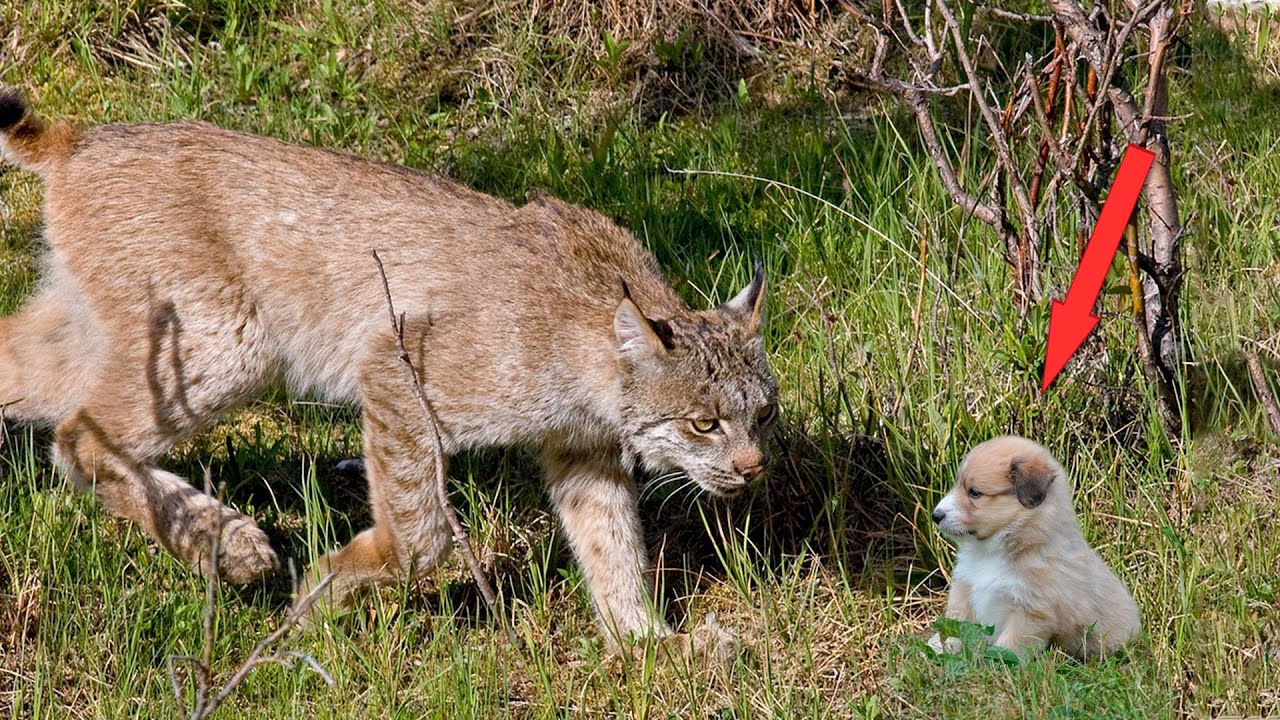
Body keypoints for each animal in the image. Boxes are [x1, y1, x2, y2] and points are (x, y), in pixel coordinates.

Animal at [931, 435, 1141, 661]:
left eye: (975, 493)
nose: (936, 515)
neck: (990, 552)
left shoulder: (1031, 612)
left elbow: (1008, 648)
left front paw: (993, 662)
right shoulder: (965, 588)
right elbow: (957, 626)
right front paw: (943, 647)